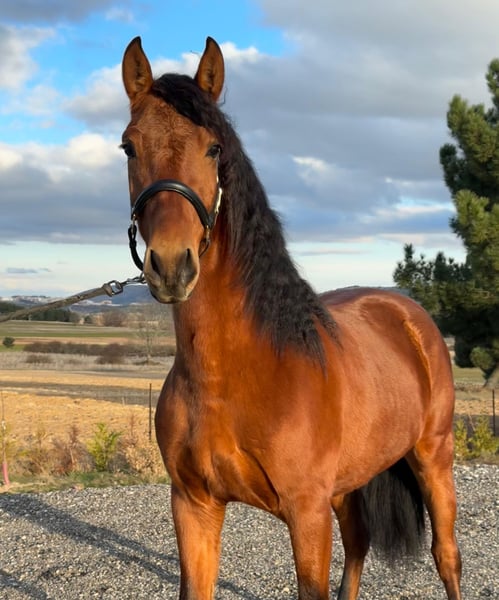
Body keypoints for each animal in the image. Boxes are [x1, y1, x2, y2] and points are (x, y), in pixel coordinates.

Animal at [121, 36, 462, 600]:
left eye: (214, 148)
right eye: (129, 147)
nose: (171, 264)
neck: (229, 376)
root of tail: (407, 310)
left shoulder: (307, 516)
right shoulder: (193, 505)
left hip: (434, 456)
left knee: (446, 556)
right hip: (348, 485)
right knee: (359, 544)